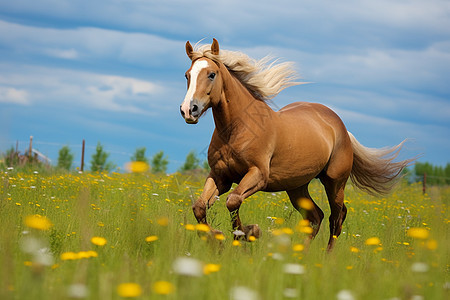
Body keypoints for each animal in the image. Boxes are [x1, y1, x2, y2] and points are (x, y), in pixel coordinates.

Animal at [179, 39, 414, 251]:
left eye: (211, 74)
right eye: (187, 75)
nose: (189, 110)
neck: (237, 128)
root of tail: (341, 128)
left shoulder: (258, 175)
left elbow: (233, 201)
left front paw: (250, 232)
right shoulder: (220, 176)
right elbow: (200, 207)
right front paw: (216, 238)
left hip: (335, 183)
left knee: (336, 217)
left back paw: (326, 258)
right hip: (297, 187)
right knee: (316, 217)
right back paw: (301, 253)